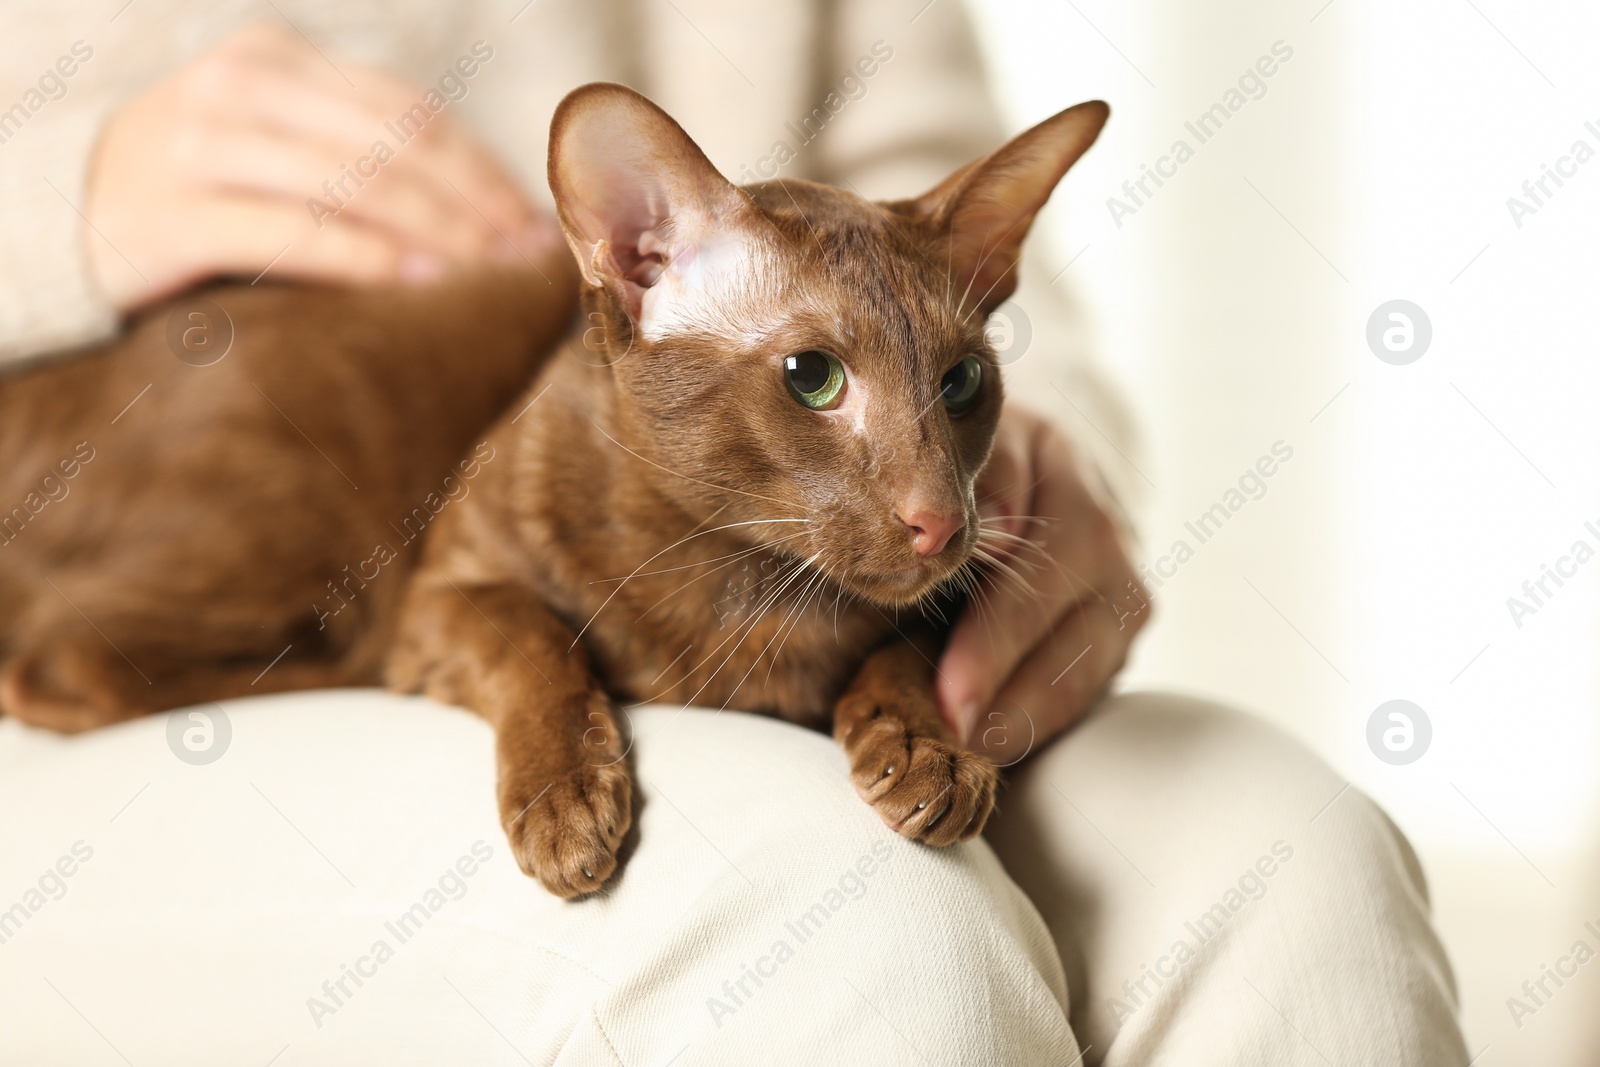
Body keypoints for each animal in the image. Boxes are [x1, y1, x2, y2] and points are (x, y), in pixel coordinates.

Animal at [385, 87, 1107, 895]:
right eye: (811, 376)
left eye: (962, 382)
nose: (944, 521)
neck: (741, 584)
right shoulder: (438, 599)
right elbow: (533, 642)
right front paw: (564, 800)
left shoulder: (944, 598)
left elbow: (905, 652)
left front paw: (926, 753)